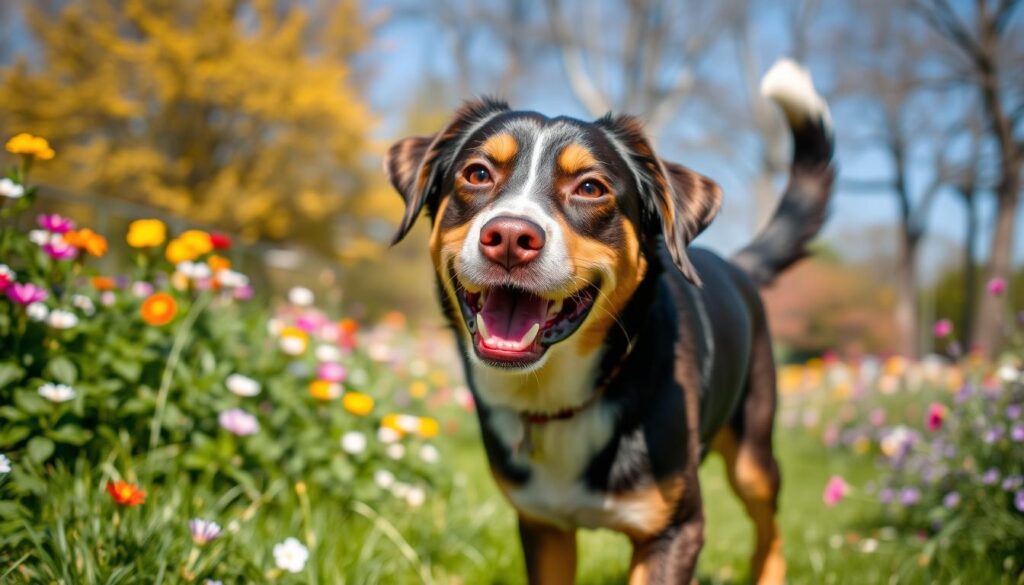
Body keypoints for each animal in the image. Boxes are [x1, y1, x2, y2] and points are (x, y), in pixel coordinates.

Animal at [385, 60, 831, 585]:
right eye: (477, 173)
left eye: (590, 187)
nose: (510, 236)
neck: (559, 400)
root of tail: (736, 265)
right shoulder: (543, 527)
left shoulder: (674, 531)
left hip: (753, 453)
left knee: (769, 526)